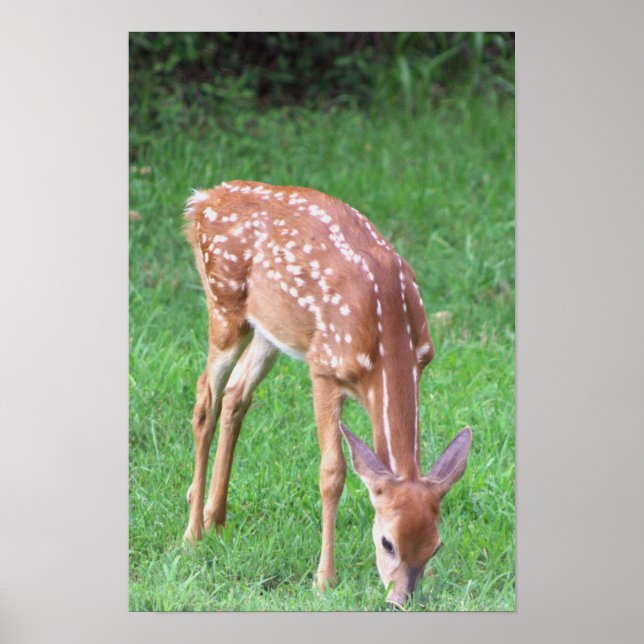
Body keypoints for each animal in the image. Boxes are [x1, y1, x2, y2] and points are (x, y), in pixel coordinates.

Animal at [182, 180, 472, 607]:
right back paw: (192, 533)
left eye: (435, 546)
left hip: (271, 329)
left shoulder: (421, 359)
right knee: (206, 398)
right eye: (387, 543)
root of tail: (203, 200)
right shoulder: (324, 368)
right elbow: (332, 474)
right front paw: (324, 580)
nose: (399, 600)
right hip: (223, 306)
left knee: (236, 394)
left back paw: (215, 517)